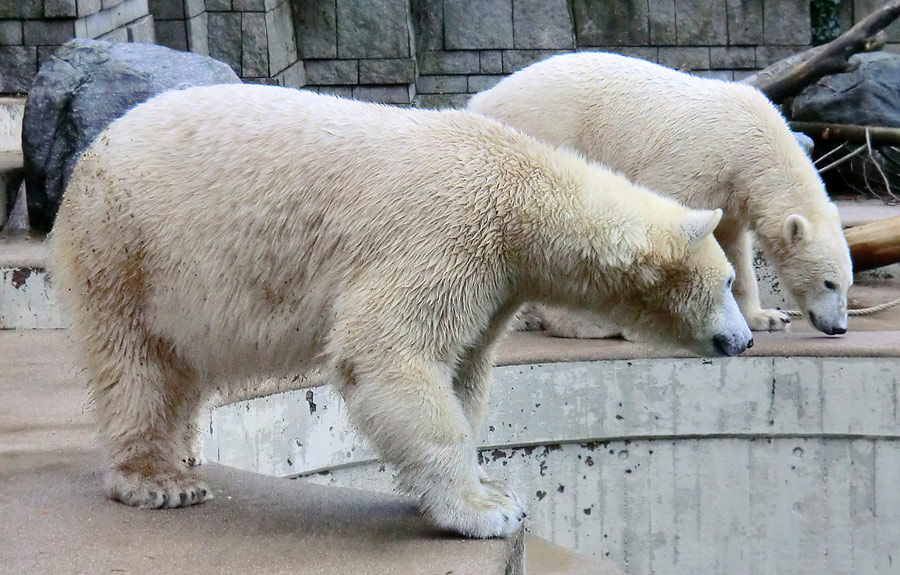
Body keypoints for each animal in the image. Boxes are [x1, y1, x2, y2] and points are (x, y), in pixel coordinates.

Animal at [49, 84, 752, 540]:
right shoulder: (447, 231)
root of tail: (93, 149)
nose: (743, 341)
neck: (523, 190)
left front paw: (490, 487)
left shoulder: (496, 279)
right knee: (137, 361)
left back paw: (186, 453)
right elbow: (391, 351)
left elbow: (463, 370)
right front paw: (484, 511)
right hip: (128, 245)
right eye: (725, 284)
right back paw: (158, 479)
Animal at [468, 51, 856, 338]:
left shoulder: (733, 193)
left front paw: (768, 317)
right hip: (545, 136)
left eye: (847, 285)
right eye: (829, 283)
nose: (838, 327)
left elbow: (735, 247)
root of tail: (480, 98)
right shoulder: (697, 164)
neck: (752, 142)